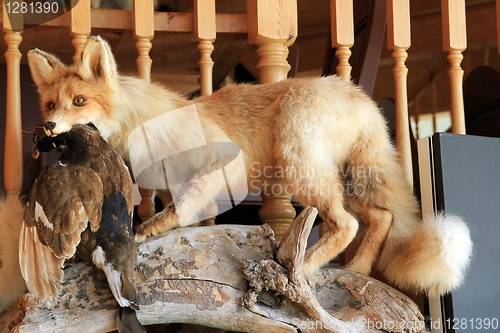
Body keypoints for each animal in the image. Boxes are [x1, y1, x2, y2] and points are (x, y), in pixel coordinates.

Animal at [27, 37, 472, 296]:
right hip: (337, 179)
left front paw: (153, 228)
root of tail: (358, 94)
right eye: (50, 104)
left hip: (301, 170)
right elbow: (175, 205)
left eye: (80, 102)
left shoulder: (219, 162)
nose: (48, 126)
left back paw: (305, 267)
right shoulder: (173, 180)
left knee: (347, 224)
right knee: (379, 217)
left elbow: (181, 209)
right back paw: (359, 270)